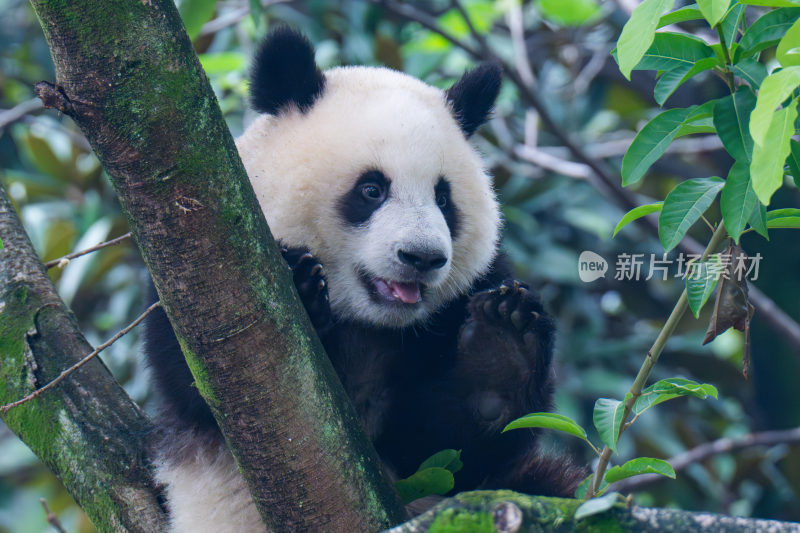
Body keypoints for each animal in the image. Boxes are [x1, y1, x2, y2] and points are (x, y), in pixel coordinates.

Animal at [142, 26, 580, 532]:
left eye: (443, 198)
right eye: (372, 189)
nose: (422, 257)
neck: (369, 324)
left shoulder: (464, 299)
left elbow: (448, 447)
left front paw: (502, 349)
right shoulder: (187, 279)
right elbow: (200, 384)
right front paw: (298, 285)